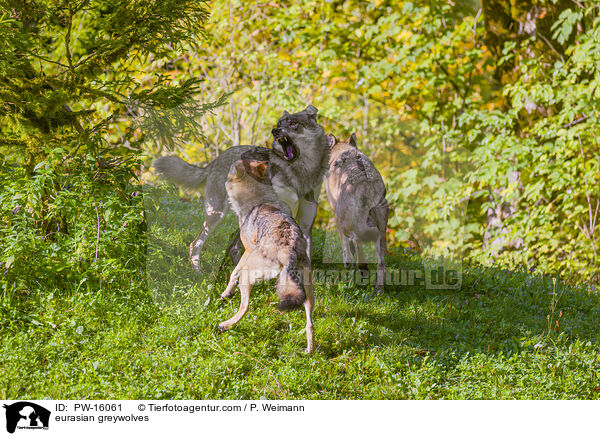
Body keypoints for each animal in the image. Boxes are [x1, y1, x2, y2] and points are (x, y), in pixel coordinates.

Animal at [151, 104, 328, 270]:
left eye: (292, 123)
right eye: (279, 123)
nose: (275, 131)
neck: (301, 173)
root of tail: (217, 158)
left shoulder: (305, 226)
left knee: (233, 249)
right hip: (217, 214)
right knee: (196, 244)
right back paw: (198, 274)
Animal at [218, 158, 316, 352]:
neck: (259, 199)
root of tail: (289, 250)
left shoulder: (246, 252)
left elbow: (233, 273)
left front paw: (226, 293)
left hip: (248, 277)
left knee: (245, 307)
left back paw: (225, 325)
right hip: (307, 292)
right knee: (310, 323)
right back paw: (310, 350)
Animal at [326, 133, 392, 290]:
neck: (343, 150)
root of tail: (369, 188)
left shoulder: (336, 215)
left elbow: (345, 245)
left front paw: (347, 261)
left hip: (346, 223)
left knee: (356, 240)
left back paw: (362, 268)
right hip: (382, 233)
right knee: (381, 263)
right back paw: (379, 290)